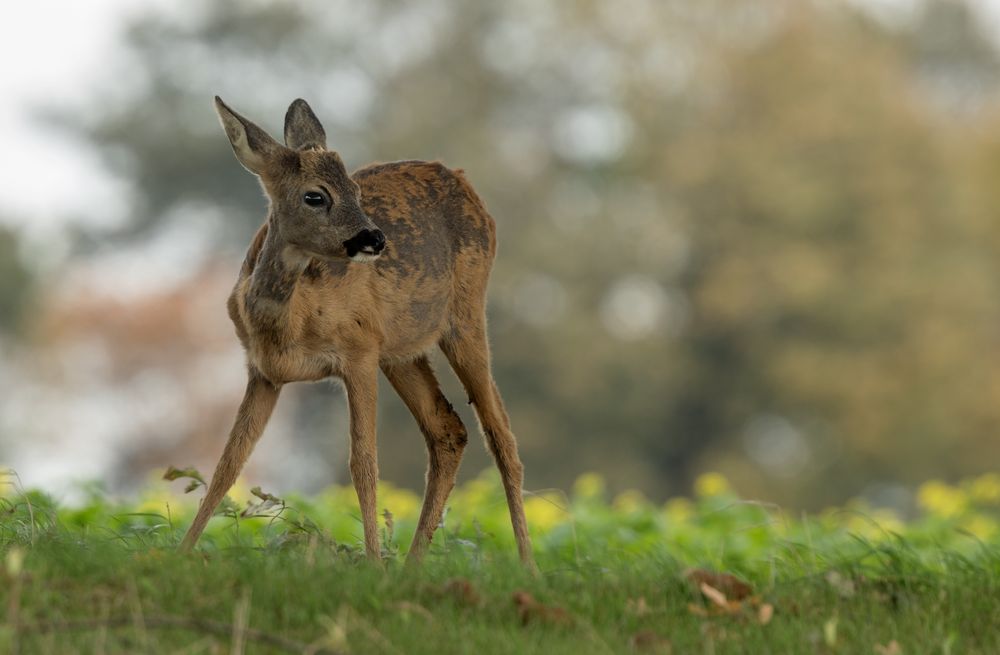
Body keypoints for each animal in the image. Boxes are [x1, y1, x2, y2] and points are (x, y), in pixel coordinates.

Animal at [180, 97, 536, 568]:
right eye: (315, 195)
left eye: (356, 190)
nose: (375, 239)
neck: (289, 322)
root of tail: (463, 180)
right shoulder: (264, 372)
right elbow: (228, 462)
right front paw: (178, 551)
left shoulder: (360, 351)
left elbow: (363, 462)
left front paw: (372, 564)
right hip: (403, 352)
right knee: (448, 429)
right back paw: (412, 566)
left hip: (465, 315)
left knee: (500, 434)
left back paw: (528, 566)